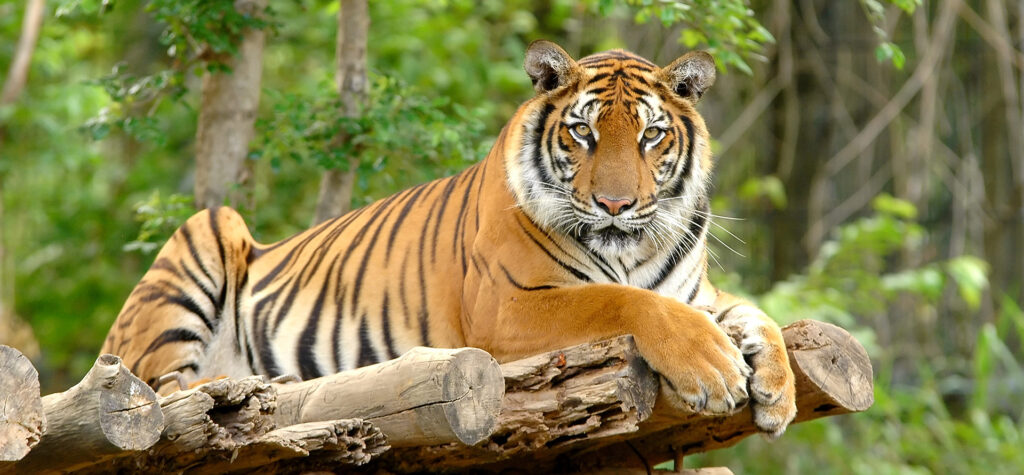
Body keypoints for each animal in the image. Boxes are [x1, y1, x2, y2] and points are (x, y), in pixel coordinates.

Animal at [102, 40, 797, 436]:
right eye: (584, 133)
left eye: (652, 135)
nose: (616, 204)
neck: (632, 249)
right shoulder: (508, 308)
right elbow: (622, 300)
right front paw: (714, 369)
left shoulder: (698, 294)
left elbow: (757, 315)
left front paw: (779, 390)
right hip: (206, 236)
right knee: (164, 390)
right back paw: (258, 387)